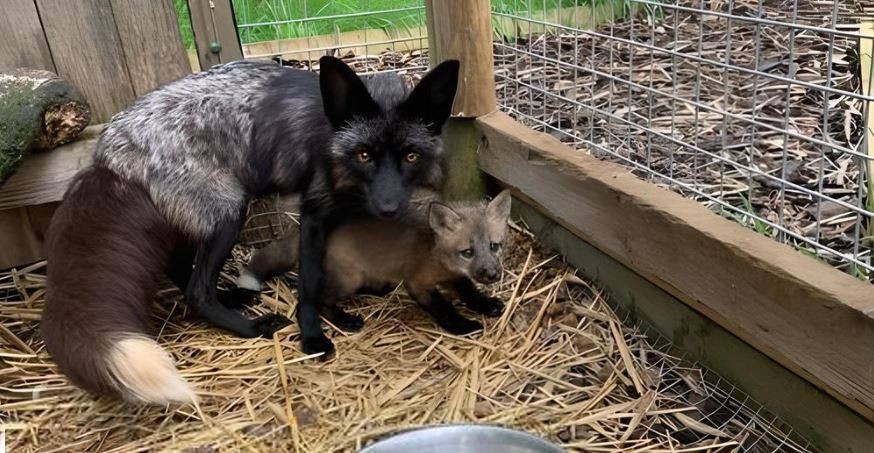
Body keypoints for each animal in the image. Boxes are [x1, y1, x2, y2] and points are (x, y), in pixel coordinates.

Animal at [40, 56, 459, 404]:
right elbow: (310, 281)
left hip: (194, 219)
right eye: (365, 155)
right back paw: (249, 326)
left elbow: (338, 264)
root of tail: (107, 151)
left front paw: (347, 306)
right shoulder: (313, 212)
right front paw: (313, 335)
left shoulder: (341, 213)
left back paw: (232, 296)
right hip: (229, 214)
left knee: (181, 268)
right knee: (197, 290)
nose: (389, 208)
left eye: (410, 156)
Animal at [236, 191, 512, 334]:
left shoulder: (454, 277)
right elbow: (444, 308)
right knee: (321, 299)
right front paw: (463, 325)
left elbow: (470, 293)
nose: (492, 274)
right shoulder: (418, 283)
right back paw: (345, 320)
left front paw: (487, 305)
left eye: (494, 246)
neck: (438, 259)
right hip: (348, 279)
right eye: (468, 252)